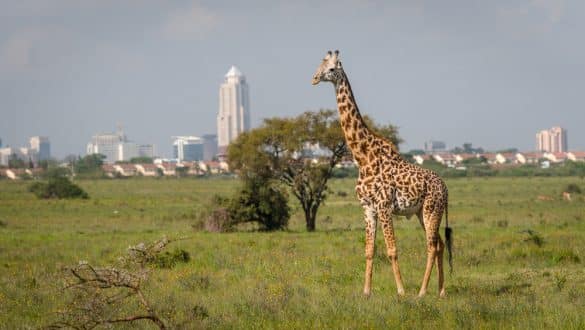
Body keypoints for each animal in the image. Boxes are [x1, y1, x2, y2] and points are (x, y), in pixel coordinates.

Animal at [310, 50, 452, 298]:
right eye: (320, 65)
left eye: (331, 68)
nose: (314, 78)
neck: (363, 157)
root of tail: (445, 188)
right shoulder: (367, 207)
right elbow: (369, 250)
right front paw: (366, 291)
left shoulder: (385, 206)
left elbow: (392, 249)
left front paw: (401, 291)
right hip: (421, 212)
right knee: (440, 244)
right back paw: (441, 291)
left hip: (431, 209)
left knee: (432, 246)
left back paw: (422, 291)